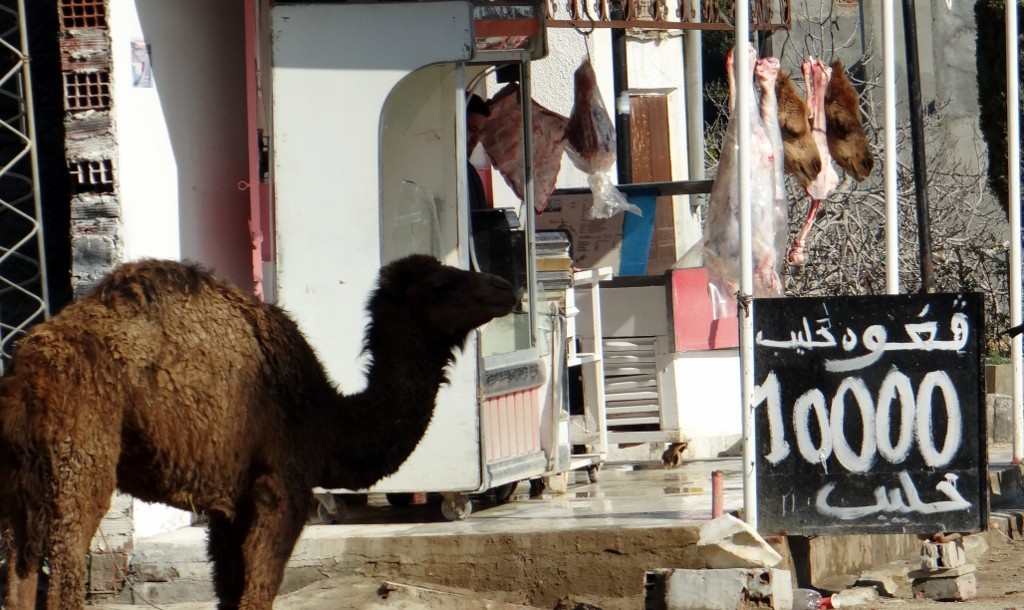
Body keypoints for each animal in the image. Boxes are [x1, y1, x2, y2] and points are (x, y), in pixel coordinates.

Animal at [0, 254, 516, 610]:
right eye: (442, 284)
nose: (506, 287)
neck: (327, 418)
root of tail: (24, 375)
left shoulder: (229, 505)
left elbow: (231, 591)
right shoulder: (281, 487)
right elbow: (259, 591)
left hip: (20, 484)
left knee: (19, 571)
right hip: (79, 456)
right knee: (64, 564)